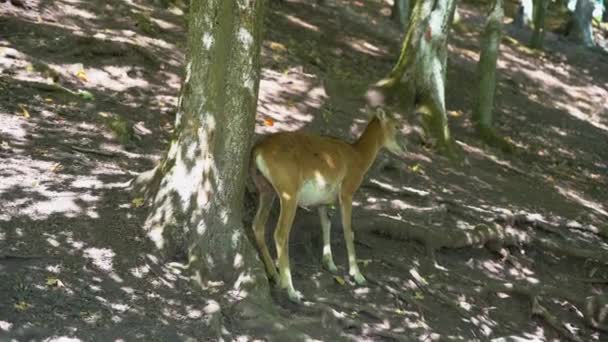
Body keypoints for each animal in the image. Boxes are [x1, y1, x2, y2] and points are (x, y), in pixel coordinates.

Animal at [249, 109, 406, 302]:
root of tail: (258, 149)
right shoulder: (347, 192)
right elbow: (348, 229)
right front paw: (357, 275)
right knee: (280, 233)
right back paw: (291, 289)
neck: (358, 156)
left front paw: (330, 264)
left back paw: (275, 275)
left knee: (258, 225)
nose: (405, 150)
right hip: (288, 194)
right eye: (397, 126)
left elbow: (326, 225)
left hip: (266, 190)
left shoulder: (324, 202)